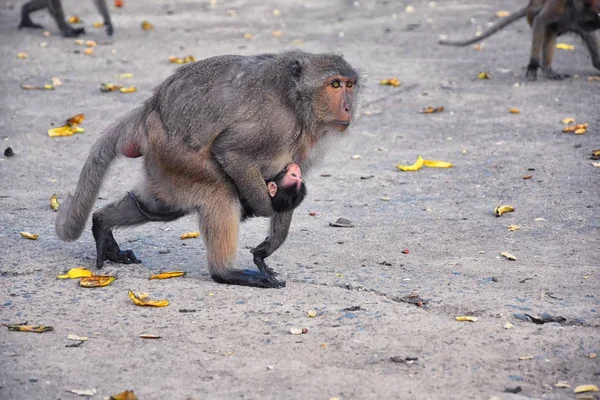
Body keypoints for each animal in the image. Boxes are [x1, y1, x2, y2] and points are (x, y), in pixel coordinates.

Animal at [55, 51, 356, 288]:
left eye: (350, 85)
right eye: (335, 84)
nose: (348, 107)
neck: (297, 101)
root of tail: (150, 109)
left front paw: (270, 245)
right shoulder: (277, 123)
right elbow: (231, 151)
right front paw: (261, 208)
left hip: (164, 163)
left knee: (160, 206)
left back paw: (102, 223)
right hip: (176, 151)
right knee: (220, 195)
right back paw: (224, 273)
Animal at [436, 0, 600, 80]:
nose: (594, 18)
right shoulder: (560, 7)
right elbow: (541, 20)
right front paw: (533, 64)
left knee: (587, 34)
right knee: (549, 29)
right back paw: (548, 70)